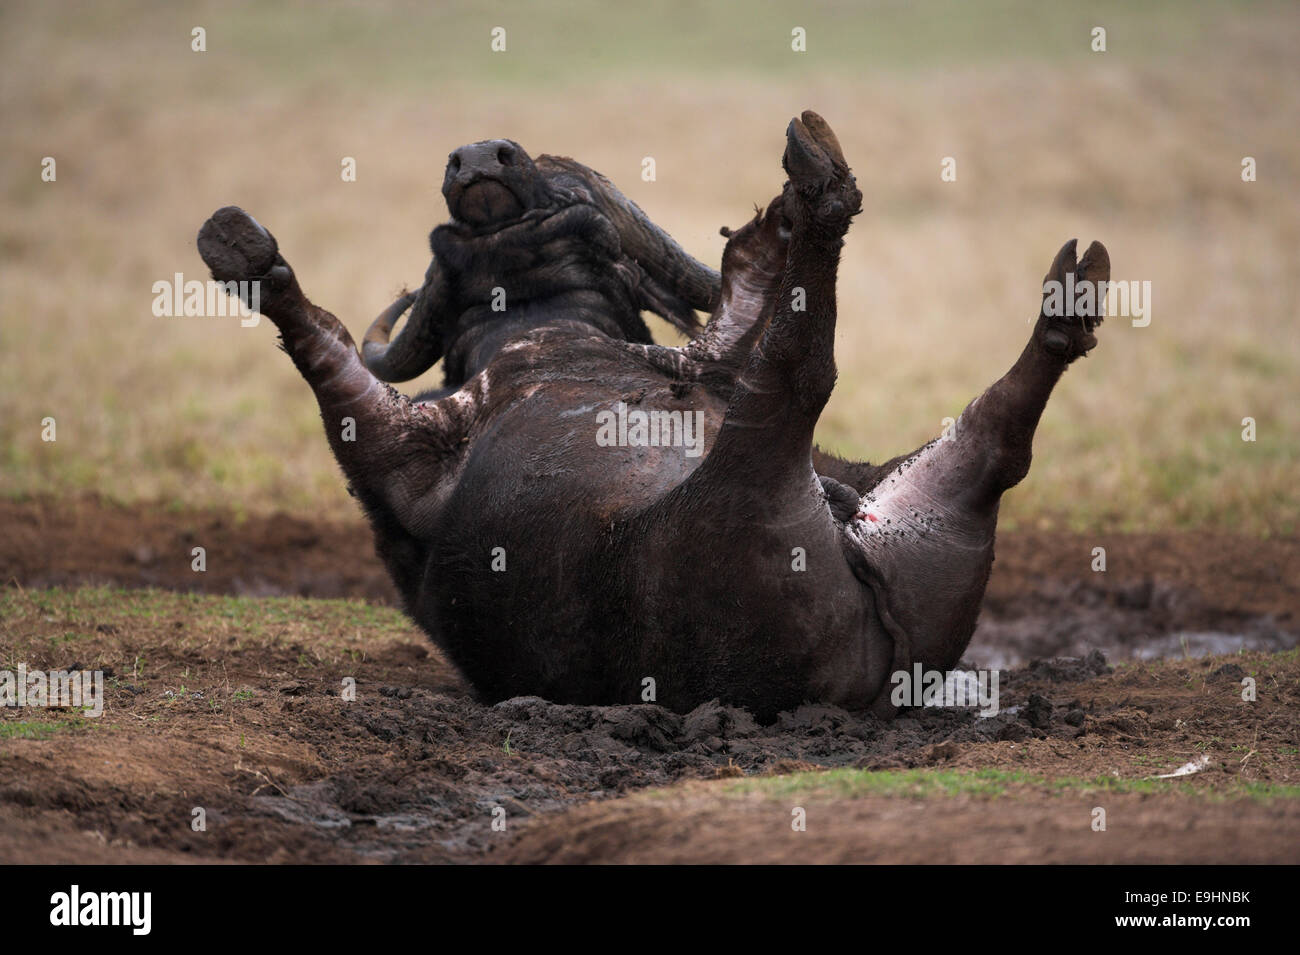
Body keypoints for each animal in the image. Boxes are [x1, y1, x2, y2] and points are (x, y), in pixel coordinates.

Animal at [195, 111, 1107, 722]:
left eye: (561, 187)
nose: (480, 158)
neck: (542, 331)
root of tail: (878, 673)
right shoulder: (400, 450)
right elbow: (327, 358)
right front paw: (247, 256)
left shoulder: (692, 364)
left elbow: (732, 310)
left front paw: (765, 233)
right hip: (744, 486)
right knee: (805, 381)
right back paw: (824, 189)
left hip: (895, 488)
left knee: (987, 434)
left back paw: (1059, 303)